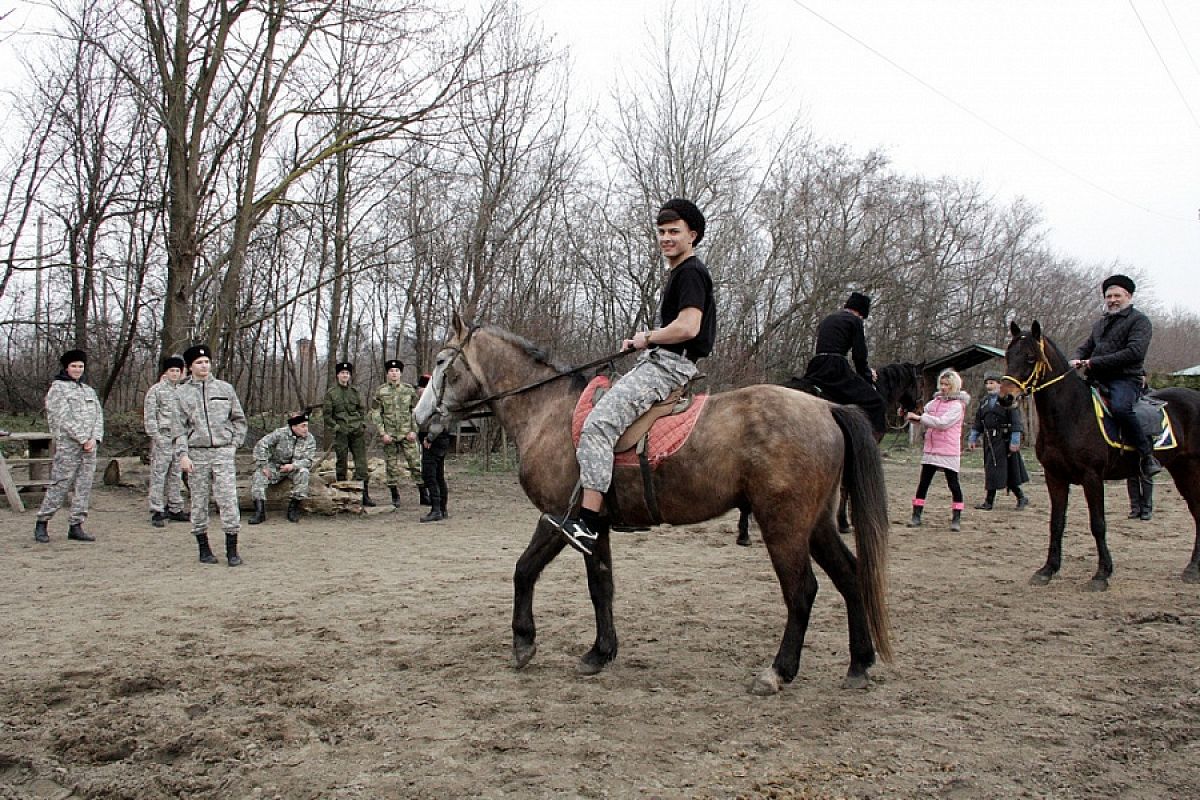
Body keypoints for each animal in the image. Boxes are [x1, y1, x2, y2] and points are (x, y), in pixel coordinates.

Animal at [412, 319, 892, 695]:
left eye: (442, 362)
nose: (420, 420)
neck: (548, 413)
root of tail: (827, 408)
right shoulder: (595, 526)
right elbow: (600, 586)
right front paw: (599, 652)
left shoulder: (560, 517)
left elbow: (524, 569)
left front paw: (524, 642)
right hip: (816, 524)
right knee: (851, 577)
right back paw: (859, 663)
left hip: (785, 526)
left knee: (802, 591)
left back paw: (778, 671)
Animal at [1003, 321, 1200, 592]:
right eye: (1008, 355)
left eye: (1031, 358)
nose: (1005, 397)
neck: (1072, 413)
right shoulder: (1055, 477)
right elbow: (1056, 523)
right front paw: (1047, 570)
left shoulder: (1092, 477)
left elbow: (1098, 524)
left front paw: (1101, 574)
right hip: (1182, 469)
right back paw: (1193, 568)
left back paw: (1193, 568)